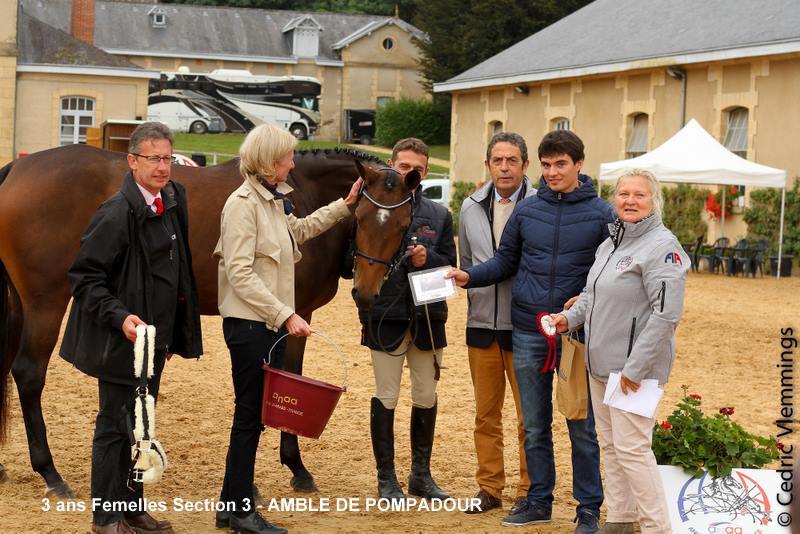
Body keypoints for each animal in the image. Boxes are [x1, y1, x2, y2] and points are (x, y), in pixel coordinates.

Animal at [1, 142, 418, 498]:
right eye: (361, 216)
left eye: (401, 225)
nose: (366, 293)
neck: (299, 194)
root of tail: (19, 167)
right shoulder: (291, 312)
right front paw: (289, 469)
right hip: (46, 301)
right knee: (28, 374)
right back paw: (50, 473)